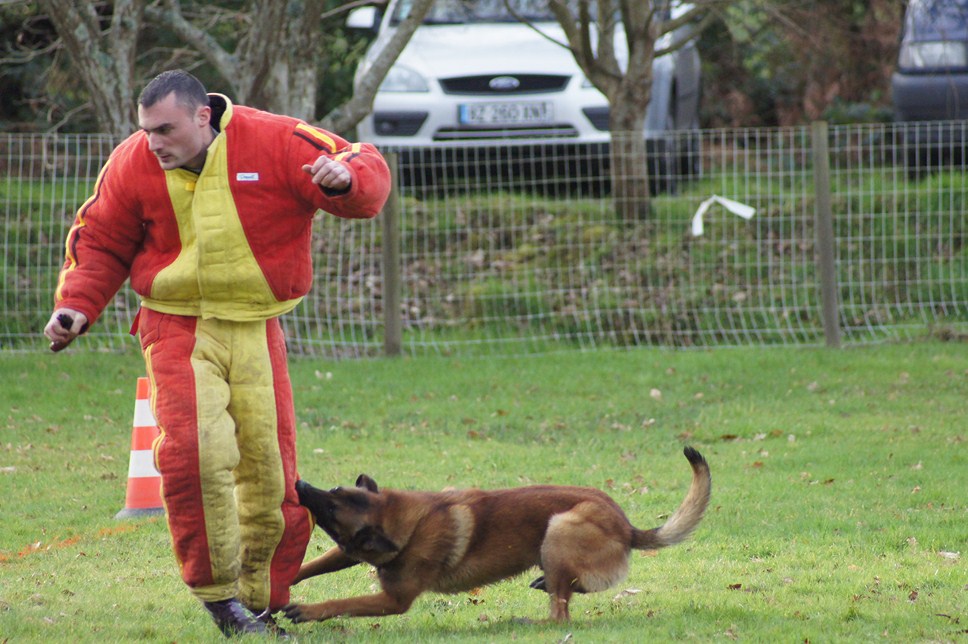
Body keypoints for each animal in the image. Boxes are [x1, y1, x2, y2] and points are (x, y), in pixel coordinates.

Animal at [284, 446, 708, 620]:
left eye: (332, 510)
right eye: (334, 491)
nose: (300, 484)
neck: (407, 521)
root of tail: (627, 526)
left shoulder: (394, 600)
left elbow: (342, 602)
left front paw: (306, 610)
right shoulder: (349, 551)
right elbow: (316, 565)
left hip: (559, 528)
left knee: (561, 616)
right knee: (573, 590)